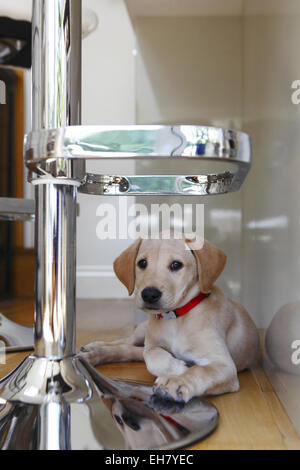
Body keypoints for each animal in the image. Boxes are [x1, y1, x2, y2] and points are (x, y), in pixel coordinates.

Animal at [81, 237, 258, 402]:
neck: (176, 318)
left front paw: (177, 381)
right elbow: (153, 356)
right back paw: (93, 348)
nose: (149, 294)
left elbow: (199, 370)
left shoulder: (224, 365)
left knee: (131, 349)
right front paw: (179, 367)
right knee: (127, 342)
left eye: (176, 265)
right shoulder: (153, 346)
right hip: (143, 331)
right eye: (142, 263)